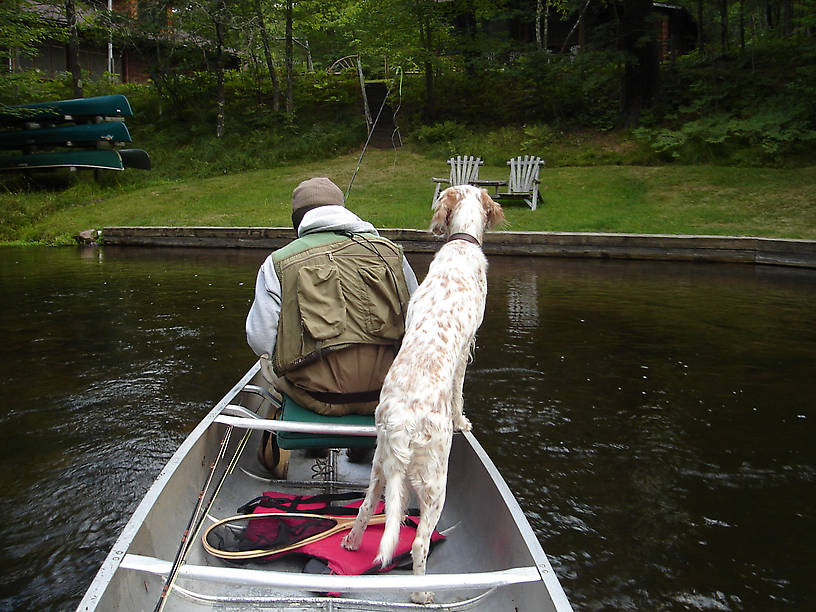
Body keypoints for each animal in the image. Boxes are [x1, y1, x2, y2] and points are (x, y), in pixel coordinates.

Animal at [338, 185, 504, 604]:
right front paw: (464, 421)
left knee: (366, 507)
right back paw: (422, 593)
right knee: (418, 543)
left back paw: (351, 543)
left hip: (381, 467)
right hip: (435, 483)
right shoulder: (465, 352)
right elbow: (460, 395)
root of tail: (401, 423)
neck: (461, 242)